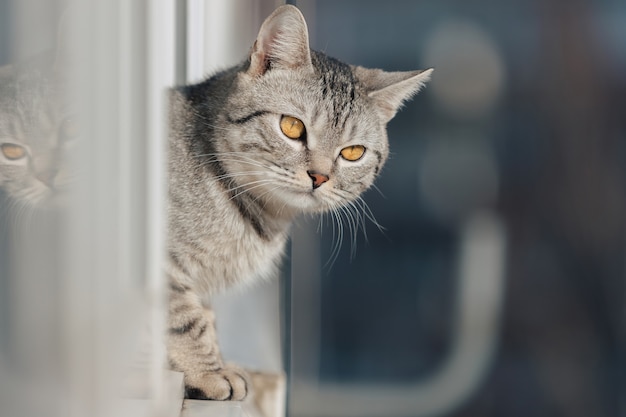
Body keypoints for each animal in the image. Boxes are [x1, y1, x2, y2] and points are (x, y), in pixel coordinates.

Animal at [166, 4, 428, 400]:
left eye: (353, 153)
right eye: (292, 127)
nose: (319, 177)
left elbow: (204, 316)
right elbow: (184, 317)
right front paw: (207, 372)